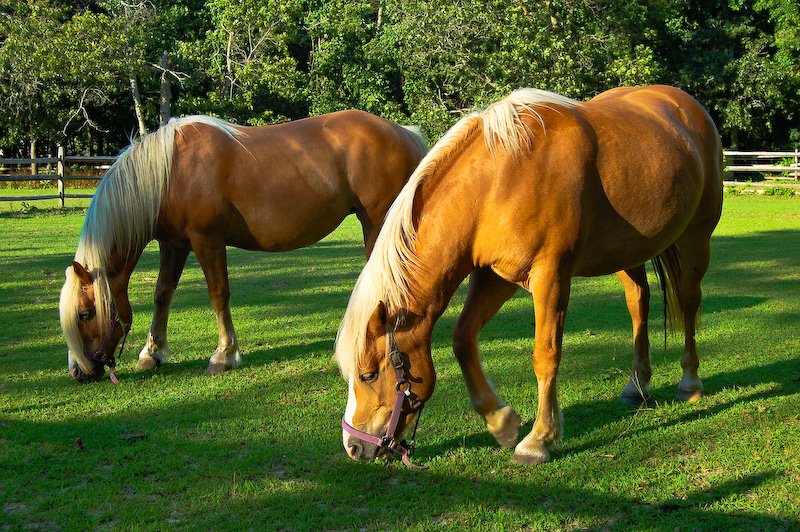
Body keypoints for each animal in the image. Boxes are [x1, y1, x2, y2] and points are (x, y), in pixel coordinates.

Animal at [59, 110, 428, 382]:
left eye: (85, 313)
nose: (79, 372)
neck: (170, 172)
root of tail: (405, 133)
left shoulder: (206, 240)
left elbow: (218, 294)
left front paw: (224, 355)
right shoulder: (174, 245)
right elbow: (162, 294)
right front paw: (152, 353)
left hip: (378, 224)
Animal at [334, 84, 720, 466]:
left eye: (369, 374)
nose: (354, 447)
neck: (500, 179)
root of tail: (684, 105)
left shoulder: (551, 278)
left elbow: (545, 356)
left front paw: (538, 440)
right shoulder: (495, 277)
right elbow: (462, 339)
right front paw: (501, 422)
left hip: (696, 238)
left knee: (689, 303)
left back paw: (690, 382)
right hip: (627, 253)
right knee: (638, 303)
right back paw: (636, 386)